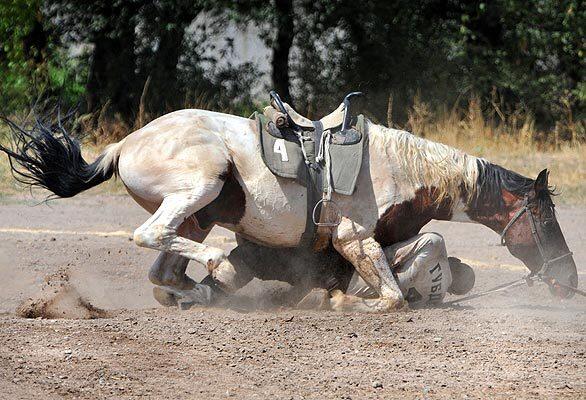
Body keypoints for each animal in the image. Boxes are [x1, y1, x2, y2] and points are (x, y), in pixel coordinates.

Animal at [0, 102, 576, 310]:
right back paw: (215, 266)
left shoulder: (372, 243)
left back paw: (194, 290)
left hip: (199, 214)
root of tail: (125, 145)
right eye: (546, 219)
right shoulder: (353, 237)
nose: (570, 279)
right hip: (201, 187)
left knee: (161, 269)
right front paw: (348, 303)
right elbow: (391, 296)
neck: (404, 170)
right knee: (152, 237)